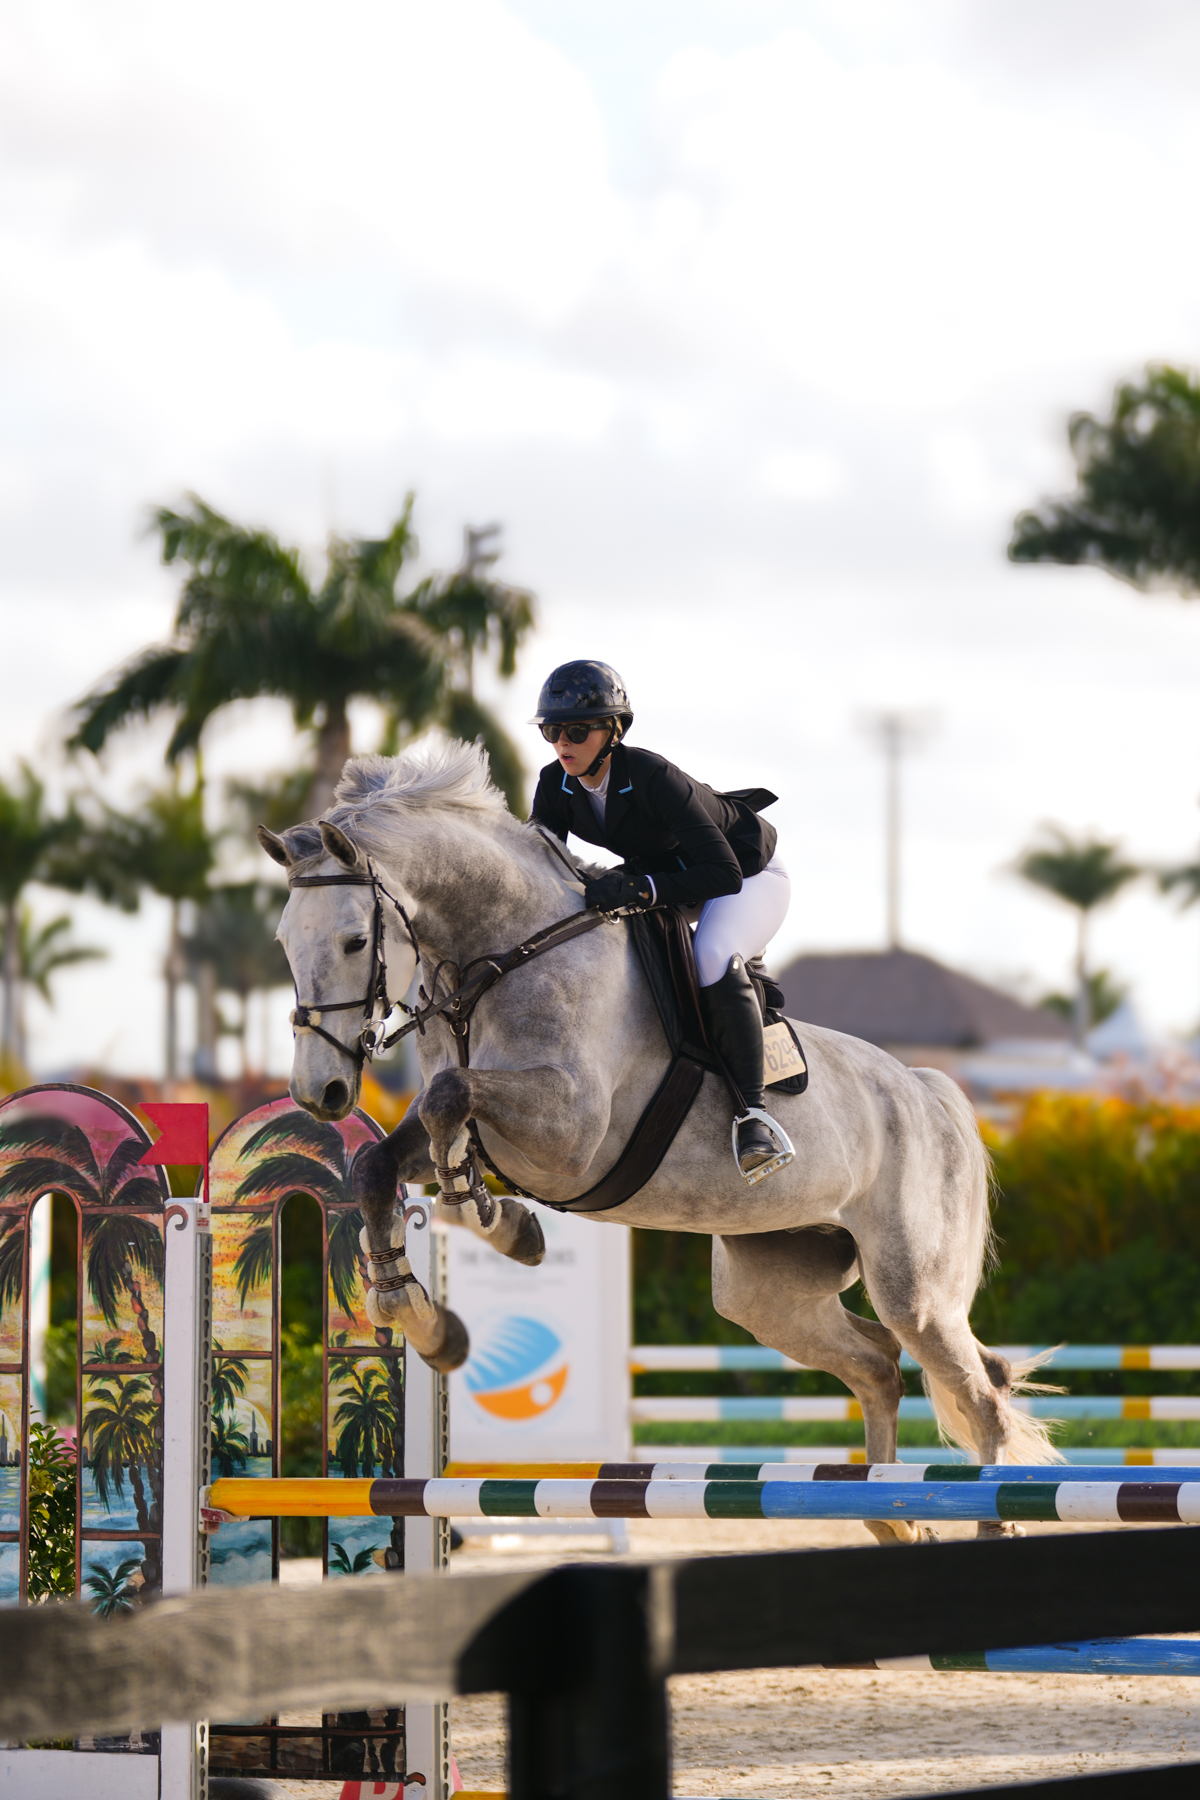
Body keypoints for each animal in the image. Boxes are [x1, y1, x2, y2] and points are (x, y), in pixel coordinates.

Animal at [260, 737, 1059, 1546]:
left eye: (355, 940)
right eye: (284, 944)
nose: (319, 1092)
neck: (503, 955)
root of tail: (924, 1090)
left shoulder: (568, 1133)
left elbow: (451, 1101)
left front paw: (492, 1217)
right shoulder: (472, 1129)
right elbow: (381, 1160)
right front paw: (420, 1312)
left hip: (914, 1289)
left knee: (977, 1392)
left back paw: (986, 1525)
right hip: (766, 1289)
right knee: (878, 1366)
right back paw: (894, 1520)